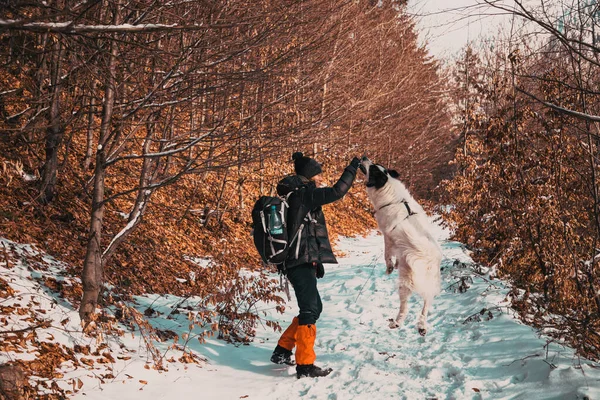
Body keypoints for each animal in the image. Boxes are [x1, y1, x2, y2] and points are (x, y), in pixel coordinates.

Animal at [358, 158, 442, 336]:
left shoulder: (387, 235)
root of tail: (427, 255)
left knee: (404, 307)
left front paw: (390, 267)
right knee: (426, 305)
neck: (388, 187)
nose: (364, 157)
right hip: (430, 283)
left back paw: (396, 323)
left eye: (372, 168)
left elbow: (387, 253)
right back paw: (422, 326)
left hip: (405, 282)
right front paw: (395, 264)